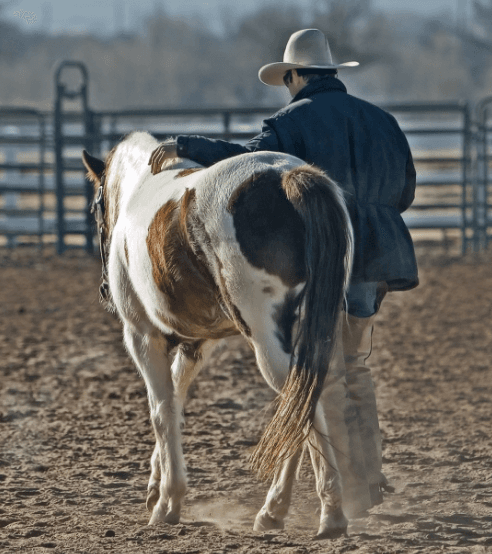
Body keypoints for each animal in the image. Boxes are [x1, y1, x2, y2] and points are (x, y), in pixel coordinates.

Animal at [83, 129, 354, 536]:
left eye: (96, 208)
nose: (103, 290)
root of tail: (287, 178)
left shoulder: (142, 337)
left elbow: (161, 411)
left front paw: (167, 503)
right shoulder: (196, 344)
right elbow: (175, 400)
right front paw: (156, 485)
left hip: (266, 340)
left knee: (301, 401)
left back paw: (328, 513)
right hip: (313, 332)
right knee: (300, 400)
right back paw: (275, 511)